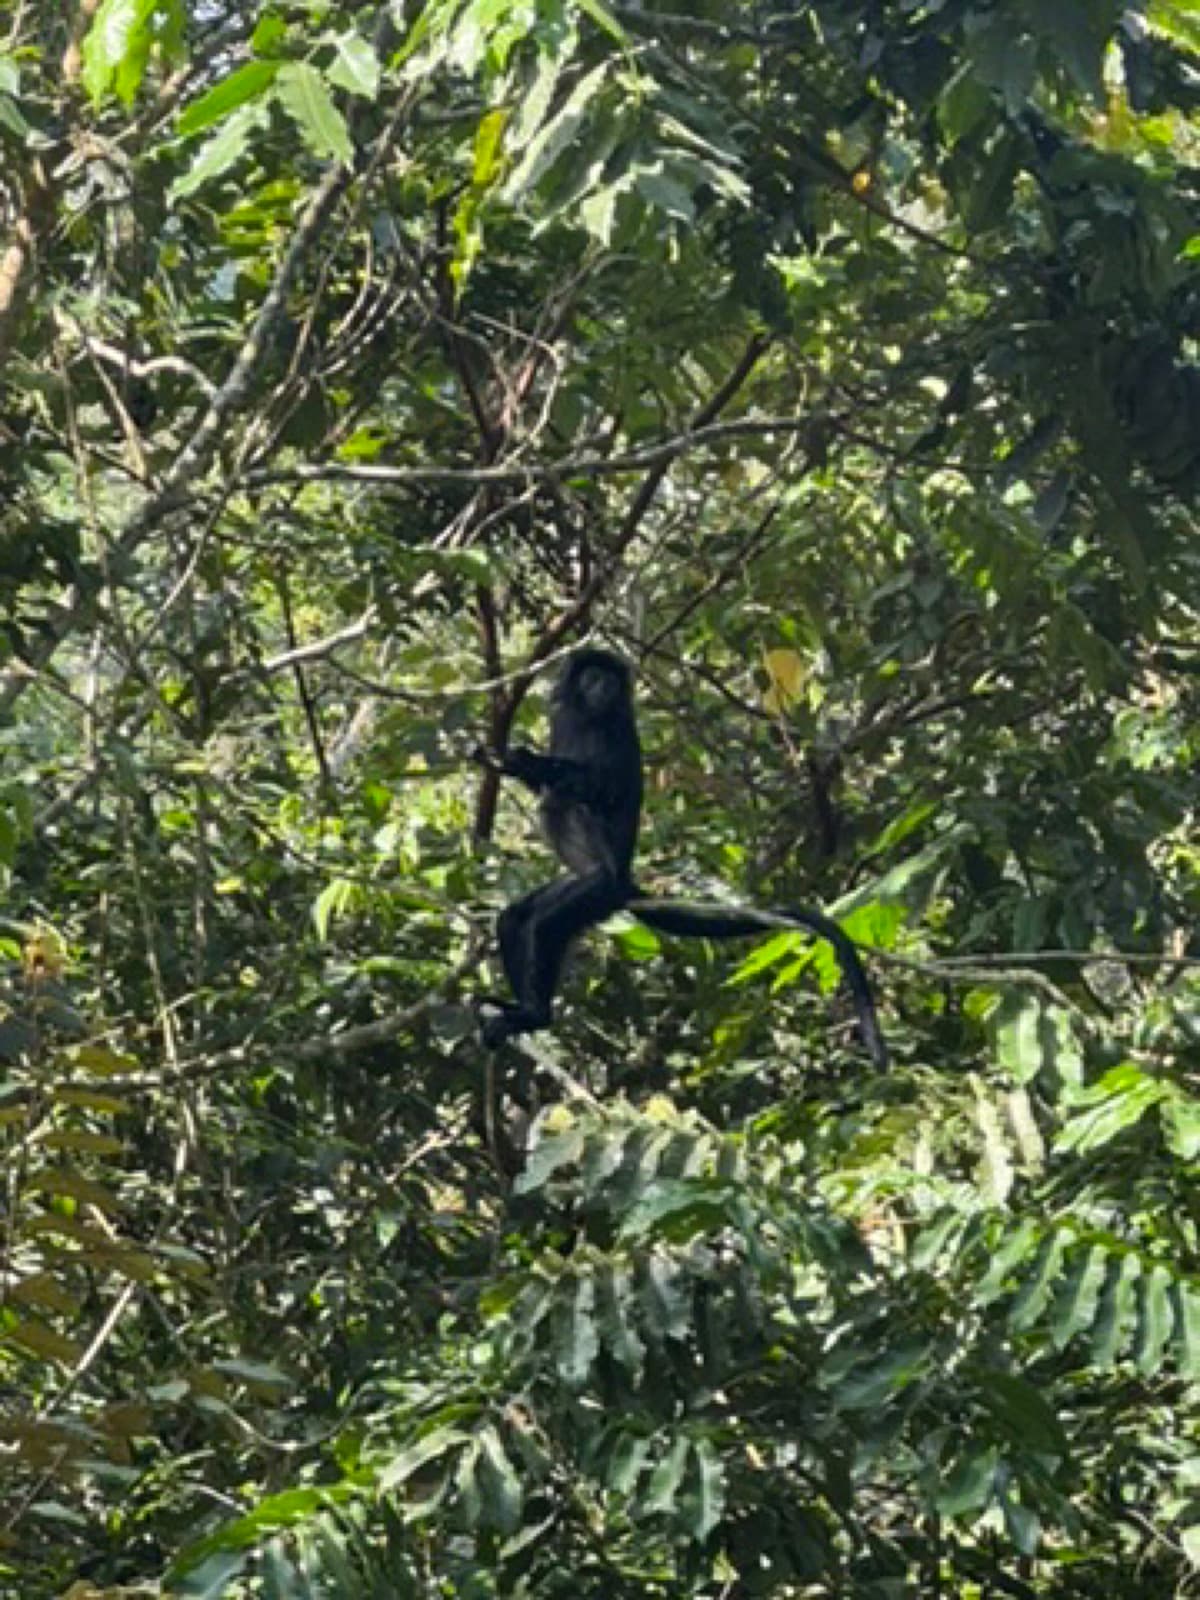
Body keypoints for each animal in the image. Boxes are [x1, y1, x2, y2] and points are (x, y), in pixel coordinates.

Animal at [478, 647, 887, 1067]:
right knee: (514, 918)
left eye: (610, 678)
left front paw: (524, 759)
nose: (605, 685)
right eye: (593, 676)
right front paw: (507, 761)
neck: (588, 715)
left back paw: (536, 1015)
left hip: (598, 890)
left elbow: (601, 788)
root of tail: (625, 883)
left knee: (546, 922)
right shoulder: (562, 717)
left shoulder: (614, 729)